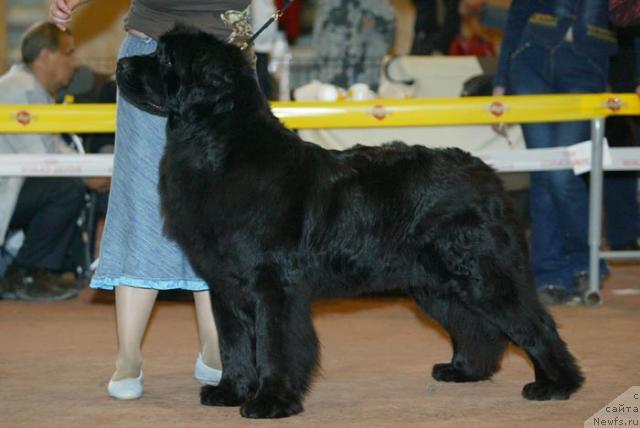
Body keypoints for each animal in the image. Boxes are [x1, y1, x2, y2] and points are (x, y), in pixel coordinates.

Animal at [116, 25, 584, 418]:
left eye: (165, 58)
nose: (122, 66)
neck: (219, 146)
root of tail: (488, 173)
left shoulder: (273, 285)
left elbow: (273, 344)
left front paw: (271, 401)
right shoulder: (225, 285)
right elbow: (233, 343)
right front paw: (230, 391)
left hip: (484, 274)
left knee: (533, 322)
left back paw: (557, 384)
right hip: (435, 284)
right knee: (477, 327)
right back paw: (465, 369)